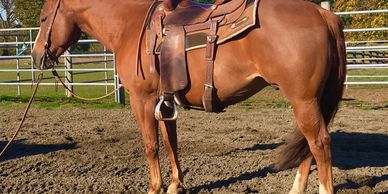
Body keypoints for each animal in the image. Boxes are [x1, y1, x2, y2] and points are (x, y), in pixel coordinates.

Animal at [30, 0, 346, 194]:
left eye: (44, 17)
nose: (35, 56)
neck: (131, 24)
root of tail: (323, 14)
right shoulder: (165, 102)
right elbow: (171, 143)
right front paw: (174, 184)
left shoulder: (142, 100)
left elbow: (151, 145)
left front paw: (154, 187)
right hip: (311, 102)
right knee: (309, 147)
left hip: (304, 101)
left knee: (319, 144)